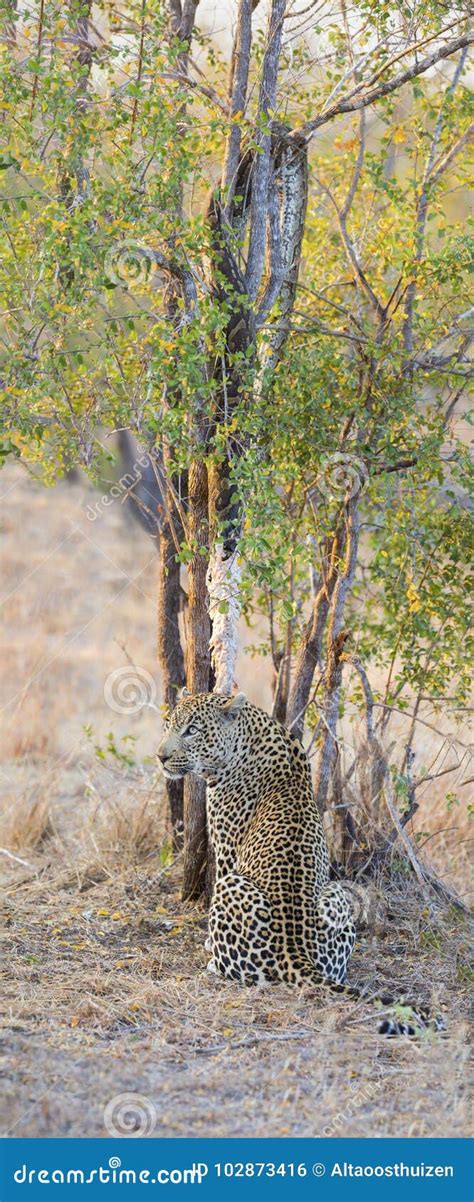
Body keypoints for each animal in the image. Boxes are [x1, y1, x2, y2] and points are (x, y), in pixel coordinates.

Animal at [157, 690, 443, 1036]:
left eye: (192, 730)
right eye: (168, 724)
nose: (160, 757)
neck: (249, 734)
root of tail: (296, 954)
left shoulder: (226, 850)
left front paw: (209, 943)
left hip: (232, 885)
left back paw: (215, 961)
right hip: (337, 894)